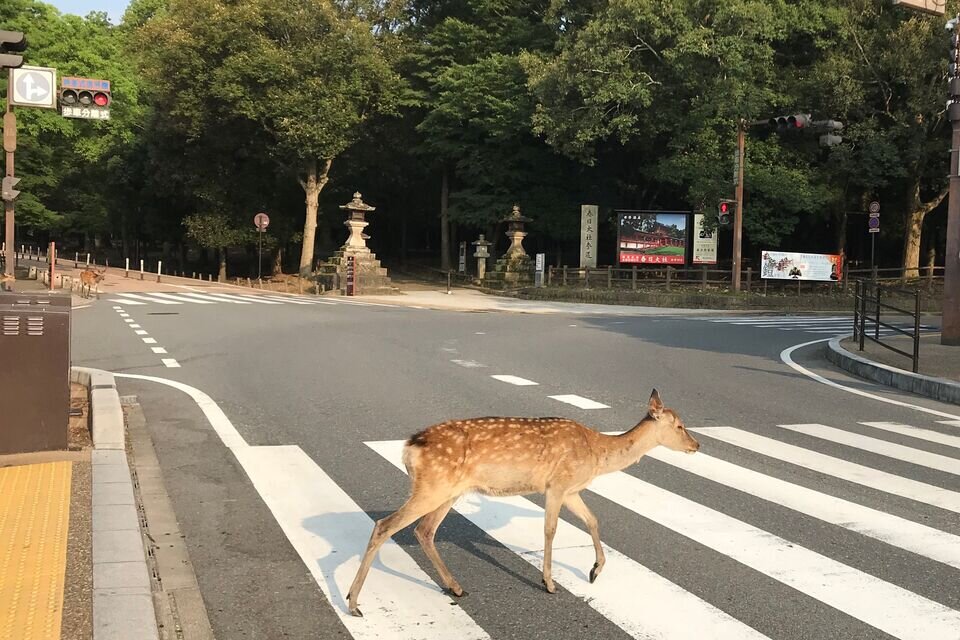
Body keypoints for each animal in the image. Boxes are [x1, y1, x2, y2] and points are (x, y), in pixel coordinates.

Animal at [346, 388, 699, 617]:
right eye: (679, 425)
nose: (696, 444)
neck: (596, 454)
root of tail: (409, 447)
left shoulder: (571, 490)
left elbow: (593, 520)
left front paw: (595, 571)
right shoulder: (557, 484)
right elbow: (551, 530)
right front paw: (550, 583)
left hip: (448, 490)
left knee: (424, 531)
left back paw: (455, 587)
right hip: (433, 486)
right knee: (385, 525)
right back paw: (353, 603)